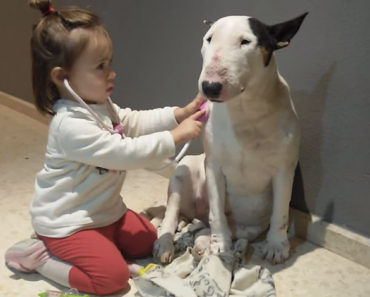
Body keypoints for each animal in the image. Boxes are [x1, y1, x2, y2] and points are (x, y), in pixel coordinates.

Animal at [153, 13, 306, 264]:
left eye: (246, 41)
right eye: (209, 39)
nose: (209, 87)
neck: (244, 109)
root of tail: (195, 214)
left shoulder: (285, 169)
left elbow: (281, 212)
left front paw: (276, 245)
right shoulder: (214, 166)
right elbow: (217, 211)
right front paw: (221, 244)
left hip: (247, 228)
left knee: (207, 228)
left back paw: (202, 244)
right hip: (182, 171)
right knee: (172, 214)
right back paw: (166, 244)